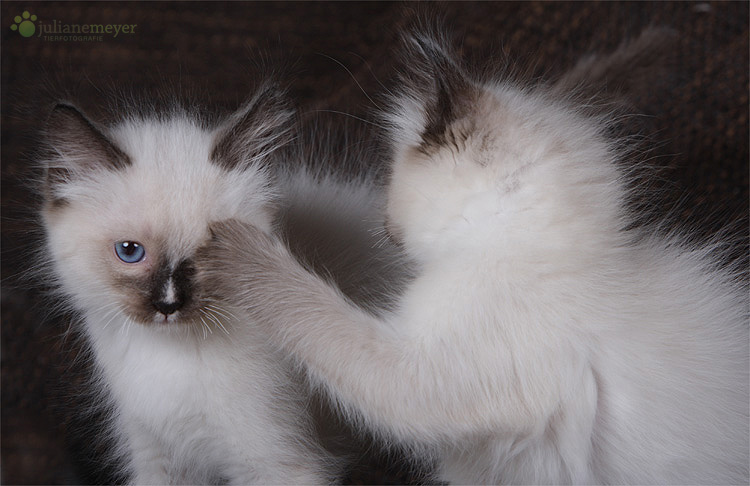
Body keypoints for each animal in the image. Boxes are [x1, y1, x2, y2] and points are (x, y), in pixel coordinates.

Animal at [39, 82, 358, 482]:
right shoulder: (158, 458)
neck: (170, 354)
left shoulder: (277, 464)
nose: (168, 304)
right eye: (130, 252)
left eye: (214, 254)